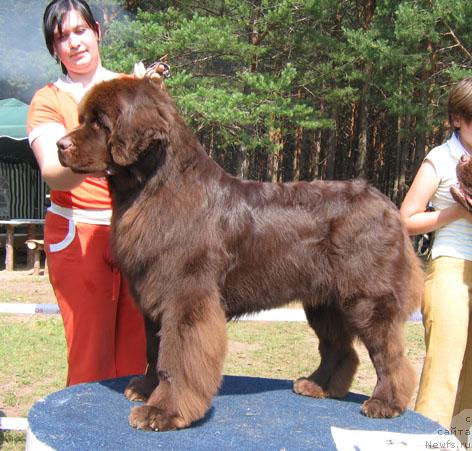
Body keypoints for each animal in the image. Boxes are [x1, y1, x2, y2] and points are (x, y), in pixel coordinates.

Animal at [58, 76, 424, 432]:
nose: (60, 145)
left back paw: (385, 403)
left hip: (367, 297)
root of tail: (387, 204)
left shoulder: (186, 297)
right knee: (338, 346)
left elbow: (176, 356)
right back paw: (318, 386)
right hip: (324, 301)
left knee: (389, 353)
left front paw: (163, 412)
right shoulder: (152, 296)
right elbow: (153, 348)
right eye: (83, 119)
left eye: (100, 122)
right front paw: (146, 390)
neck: (152, 189)